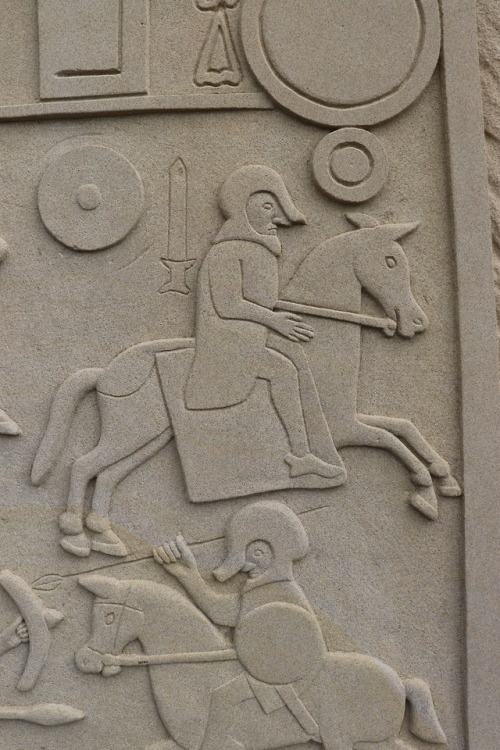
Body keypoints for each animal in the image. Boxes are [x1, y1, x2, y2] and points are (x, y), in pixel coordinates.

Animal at [31, 213, 460, 560]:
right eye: (391, 261)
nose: (417, 322)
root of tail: (106, 371)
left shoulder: (351, 420)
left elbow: (403, 426)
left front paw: (445, 478)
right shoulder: (343, 430)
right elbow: (392, 440)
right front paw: (425, 490)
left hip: (149, 437)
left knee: (106, 475)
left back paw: (105, 539)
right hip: (132, 431)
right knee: (83, 465)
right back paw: (74, 538)